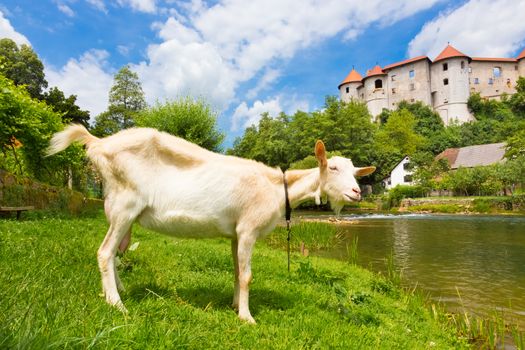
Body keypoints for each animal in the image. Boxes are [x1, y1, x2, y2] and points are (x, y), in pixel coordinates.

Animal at [47, 124, 374, 324]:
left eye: (355, 171)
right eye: (333, 167)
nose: (357, 192)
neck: (276, 188)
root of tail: (98, 143)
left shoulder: (235, 234)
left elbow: (237, 271)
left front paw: (235, 306)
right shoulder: (248, 229)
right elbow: (247, 276)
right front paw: (247, 318)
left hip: (121, 211)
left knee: (114, 252)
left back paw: (117, 292)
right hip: (124, 204)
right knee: (104, 252)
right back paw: (117, 305)